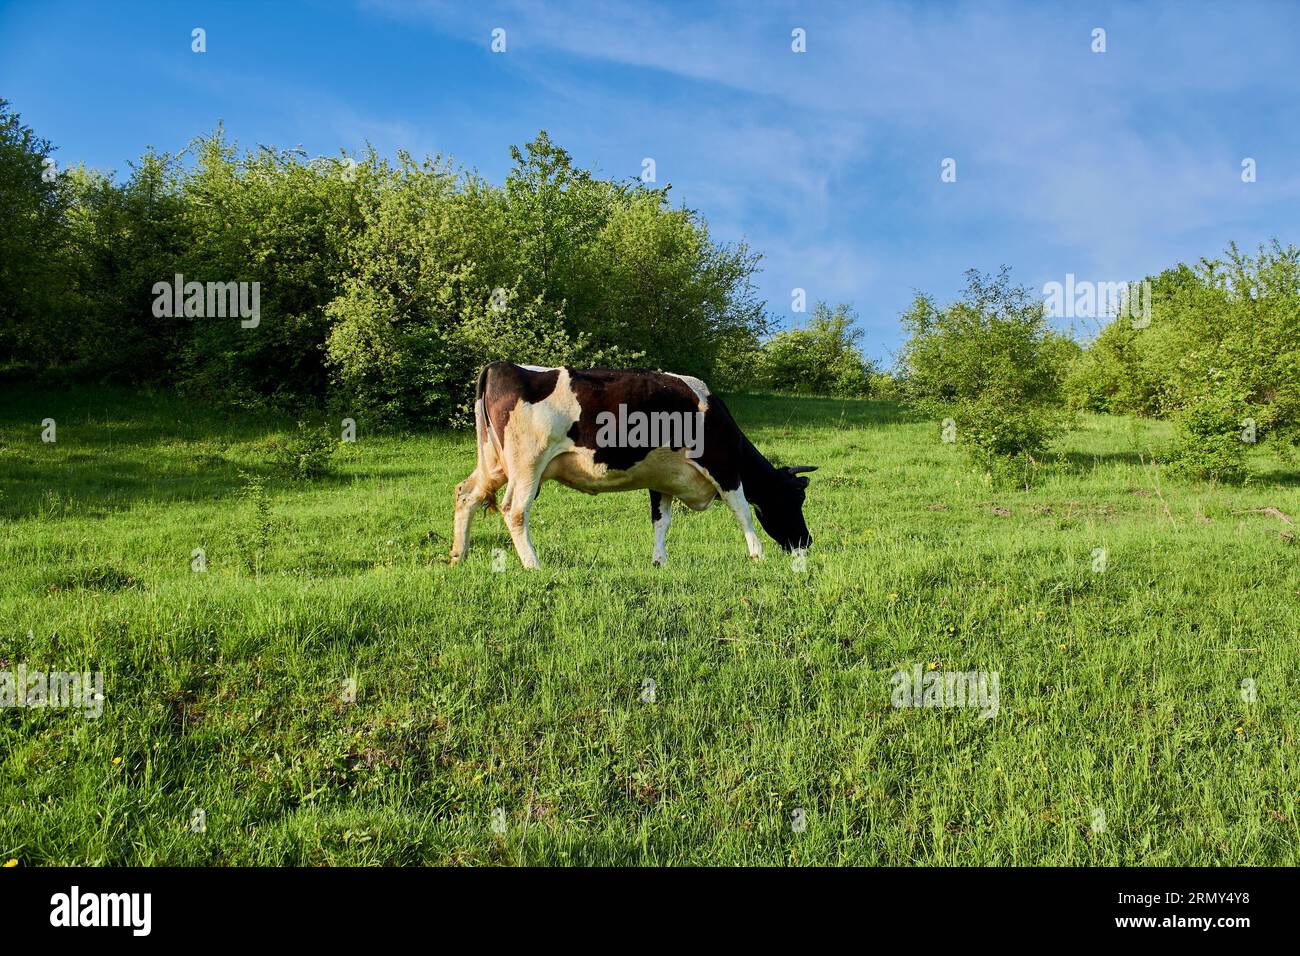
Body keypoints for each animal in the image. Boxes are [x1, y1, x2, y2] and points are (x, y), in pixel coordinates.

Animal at [449, 361, 811, 567]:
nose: (806, 542)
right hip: (527, 463)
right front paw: (757, 553)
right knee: (515, 510)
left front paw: (659, 561)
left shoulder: (663, 479)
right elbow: (743, 510)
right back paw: (533, 564)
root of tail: (502, 364)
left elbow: (661, 522)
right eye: (795, 498)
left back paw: (458, 556)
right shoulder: (723, 467)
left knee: (467, 494)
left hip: (495, 463)